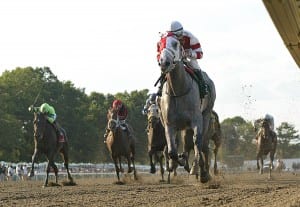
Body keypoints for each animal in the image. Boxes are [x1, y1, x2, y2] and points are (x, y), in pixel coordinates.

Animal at [157, 33, 216, 183]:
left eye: (176, 44)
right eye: (159, 44)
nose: (164, 62)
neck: (178, 90)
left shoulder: (196, 120)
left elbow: (197, 142)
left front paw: (197, 170)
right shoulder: (169, 123)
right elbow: (172, 151)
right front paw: (177, 162)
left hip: (206, 114)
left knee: (202, 144)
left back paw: (203, 171)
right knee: (182, 145)